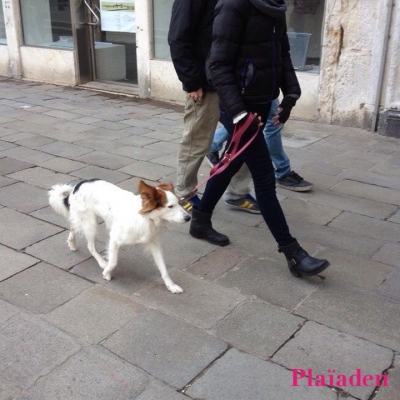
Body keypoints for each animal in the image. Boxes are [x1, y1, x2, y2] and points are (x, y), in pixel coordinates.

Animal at [48, 180, 191, 292]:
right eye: (170, 206)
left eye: (180, 203)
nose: (189, 217)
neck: (146, 217)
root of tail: (78, 185)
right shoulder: (115, 239)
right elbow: (113, 262)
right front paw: (106, 273)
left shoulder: (153, 243)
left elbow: (163, 267)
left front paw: (171, 286)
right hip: (90, 224)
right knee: (90, 246)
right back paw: (101, 262)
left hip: (83, 219)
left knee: (73, 225)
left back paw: (71, 243)